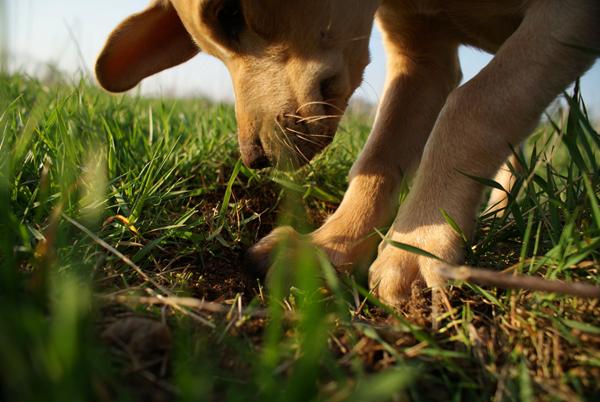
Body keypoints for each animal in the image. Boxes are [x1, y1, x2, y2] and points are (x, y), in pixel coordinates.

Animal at [96, 0, 596, 308]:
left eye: (230, 13)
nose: (255, 160)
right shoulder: (422, 58)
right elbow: (378, 158)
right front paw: (331, 244)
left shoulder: (567, 17)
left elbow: (474, 104)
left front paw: (419, 246)